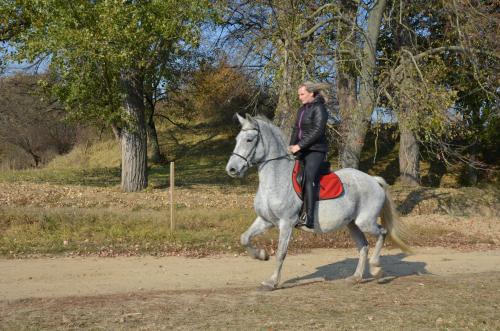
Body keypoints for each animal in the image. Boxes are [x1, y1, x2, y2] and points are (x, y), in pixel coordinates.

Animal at [227, 114, 410, 290]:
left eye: (249, 139)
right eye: (236, 139)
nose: (231, 169)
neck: (276, 179)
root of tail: (373, 180)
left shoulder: (286, 223)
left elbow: (281, 253)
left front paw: (272, 282)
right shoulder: (266, 221)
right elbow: (244, 238)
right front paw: (262, 255)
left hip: (365, 222)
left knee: (382, 233)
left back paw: (375, 268)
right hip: (352, 224)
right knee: (363, 246)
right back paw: (355, 278)